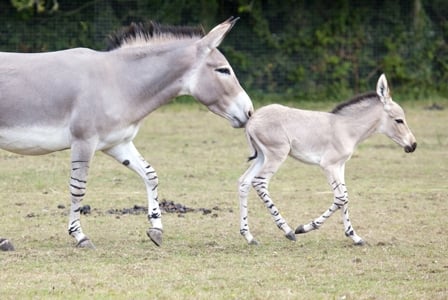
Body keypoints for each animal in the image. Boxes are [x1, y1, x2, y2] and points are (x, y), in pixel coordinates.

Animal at [0, 17, 252, 250]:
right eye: (223, 70)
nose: (250, 112)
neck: (118, 83)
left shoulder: (117, 143)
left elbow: (150, 174)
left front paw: (156, 229)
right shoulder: (83, 141)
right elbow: (78, 187)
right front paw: (80, 236)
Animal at [238, 74, 416, 245]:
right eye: (399, 120)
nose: (413, 145)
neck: (346, 128)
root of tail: (252, 119)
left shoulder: (340, 165)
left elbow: (344, 196)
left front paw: (354, 236)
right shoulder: (329, 165)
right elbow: (341, 198)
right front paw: (304, 228)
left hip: (262, 156)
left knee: (244, 182)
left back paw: (248, 236)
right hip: (276, 155)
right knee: (259, 182)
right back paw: (287, 230)